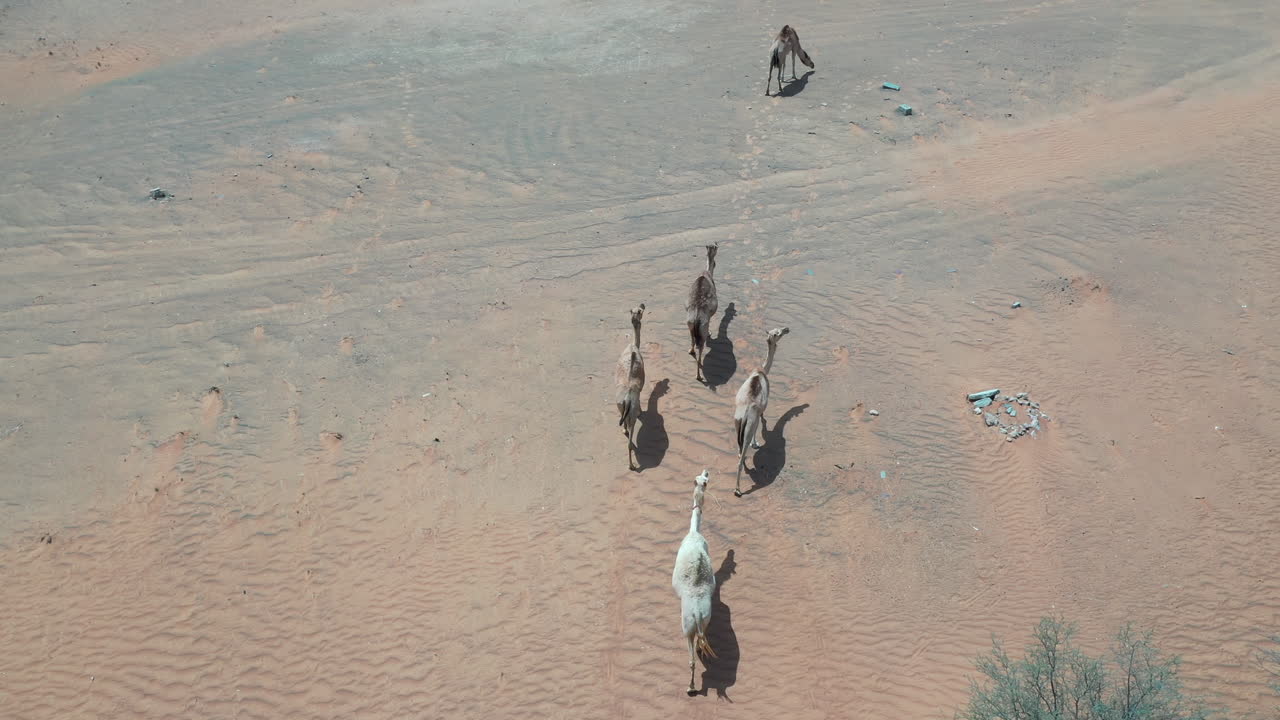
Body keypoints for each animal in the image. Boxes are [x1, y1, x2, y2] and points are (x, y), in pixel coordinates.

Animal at [733, 327, 790, 496]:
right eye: (777, 334)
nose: (786, 329)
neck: (762, 370)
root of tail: (743, 416)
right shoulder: (759, 414)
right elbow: (761, 424)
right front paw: (756, 444)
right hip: (747, 430)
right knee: (739, 461)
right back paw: (737, 490)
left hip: (737, 426)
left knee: (739, 452)